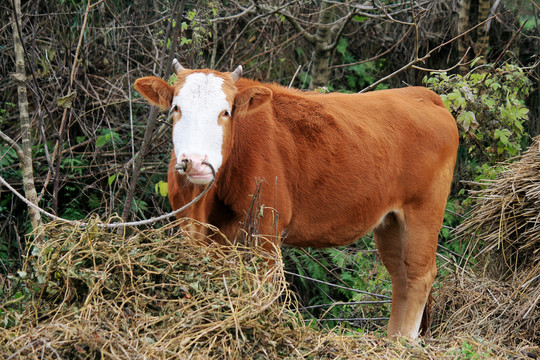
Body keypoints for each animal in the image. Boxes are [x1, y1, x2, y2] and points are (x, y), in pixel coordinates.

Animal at [133, 59, 458, 340]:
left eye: (225, 112)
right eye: (176, 108)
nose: (196, 162)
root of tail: (421, 95)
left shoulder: (267, 226)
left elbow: (264, 286)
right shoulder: (196, 230)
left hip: (424, 210)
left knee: (419, 274)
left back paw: (406, 342)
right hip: (390, 221)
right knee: (399, 276)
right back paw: (392, 340)